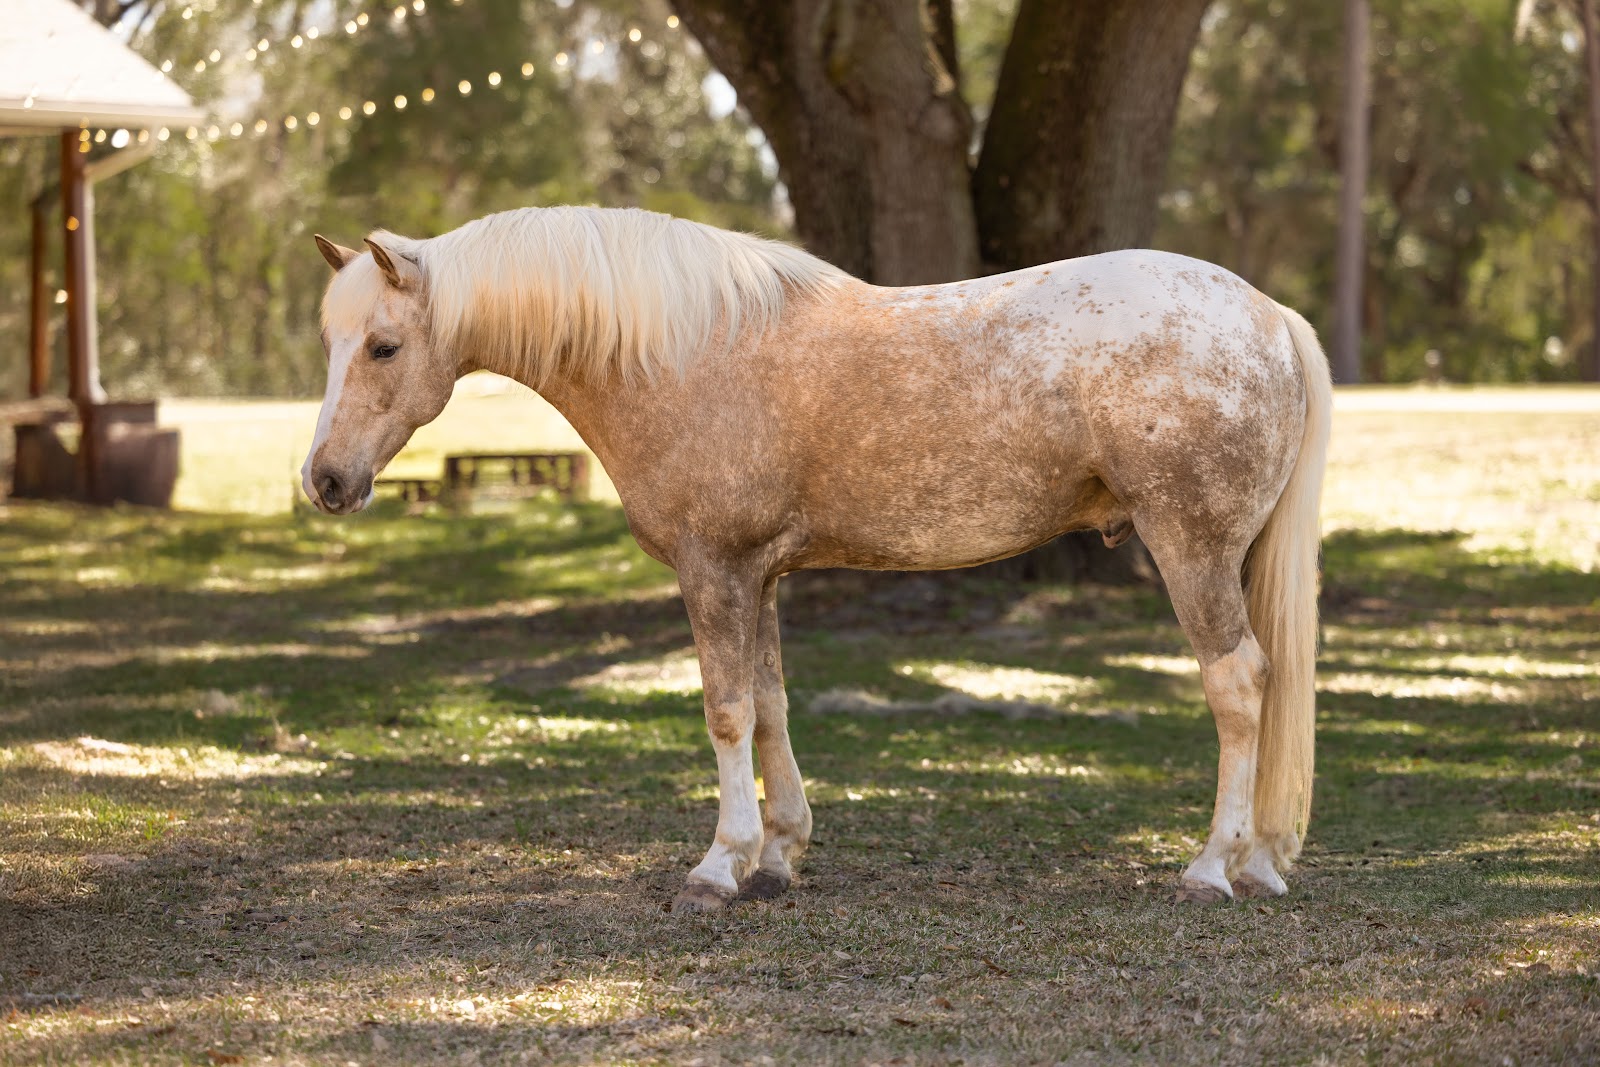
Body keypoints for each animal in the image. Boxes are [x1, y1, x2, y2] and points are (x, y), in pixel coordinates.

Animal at [304, 206, 1331, 913]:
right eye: (330, 341)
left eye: (384, 346)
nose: (325, 479)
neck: (682, 351)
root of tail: (1271, 314)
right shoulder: (756, 575)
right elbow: (768, 708)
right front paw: (777, 855)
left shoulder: (712, 570)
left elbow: (725, 713)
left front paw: (718, 866)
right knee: (1267, 682)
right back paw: (1259, 861)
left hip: (1192, 551)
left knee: (1239, 683)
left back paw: (1212, 867)